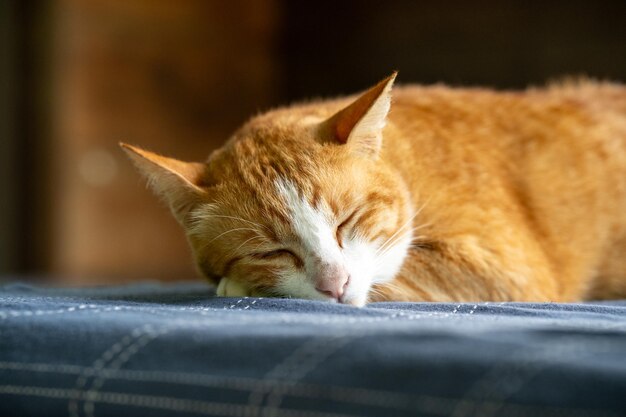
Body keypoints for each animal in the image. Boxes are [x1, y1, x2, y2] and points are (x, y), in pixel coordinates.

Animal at [122, 71, 624, 306]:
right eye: (270, 251)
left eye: (347, 221)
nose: (335, 284)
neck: (404, 162)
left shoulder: (509, 270)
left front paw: (235, 286)